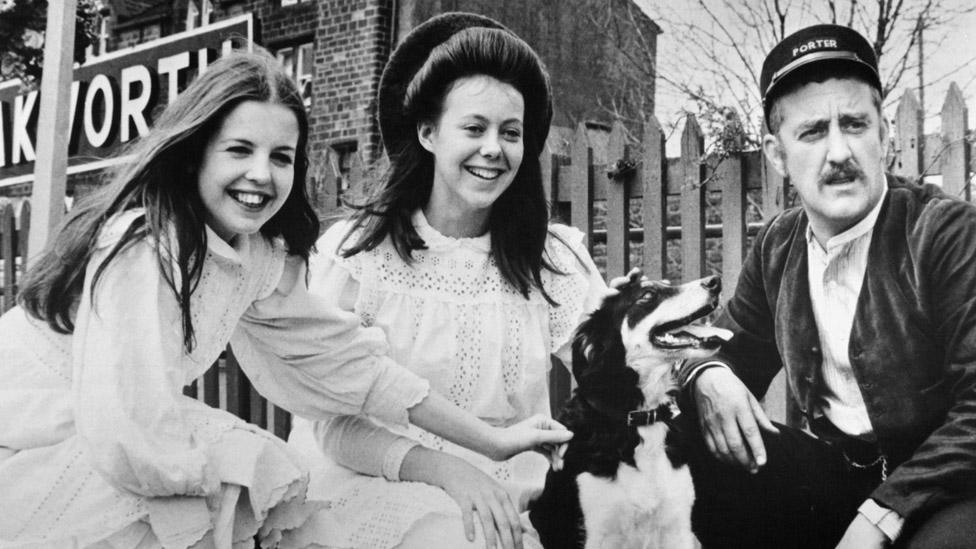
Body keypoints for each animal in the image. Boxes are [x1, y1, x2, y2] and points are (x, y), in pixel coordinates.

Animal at [528, 270, 728, 548]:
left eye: (668, 284)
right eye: (647, 295)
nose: (714, 281)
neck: (639, 418)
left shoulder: (678, 527)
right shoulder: (597, 533)